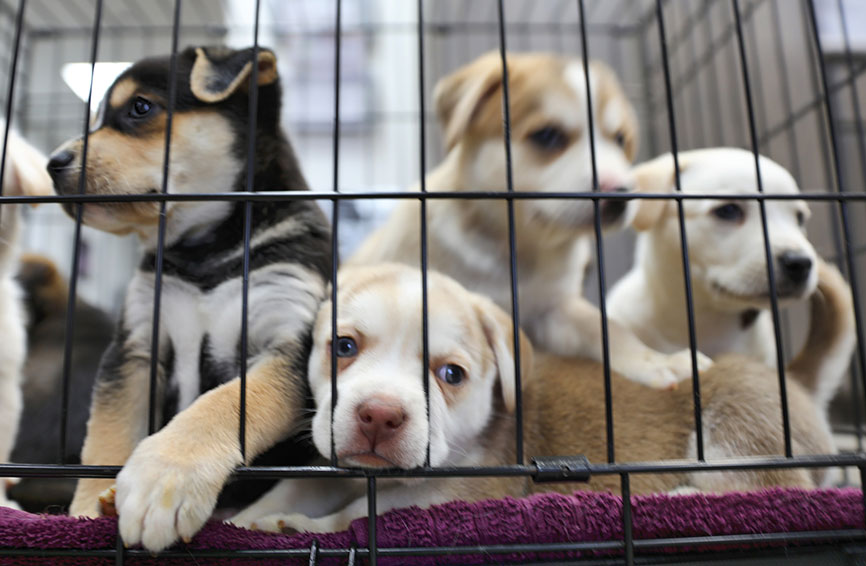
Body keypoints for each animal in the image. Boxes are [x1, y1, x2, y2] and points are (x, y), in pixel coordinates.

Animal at [48, 46, 330, 552]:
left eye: (140, 108)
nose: (53, 163)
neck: (205, 252)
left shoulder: (289, 341)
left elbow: (225, 402)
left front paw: (164, 478)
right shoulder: (134, 346)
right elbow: (106, 436)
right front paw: (84, 512)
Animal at [236, 262, 852, 536]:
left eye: (451, 374)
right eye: (343, 345)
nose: (380, 415)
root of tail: (795, 383)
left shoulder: (454, 493)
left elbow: (360, 515)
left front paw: (302, 527)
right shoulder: (329, 469)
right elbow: (291, 487)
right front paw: (247, 518)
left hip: (736, 425)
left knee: (769, 485)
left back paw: (679, 495)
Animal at [348, 51, 704, 390]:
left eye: (619, 139)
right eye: (547, 136)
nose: (621, 195)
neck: (517, 249)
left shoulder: (556, 310)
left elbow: (606, 327)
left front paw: (655, 360)